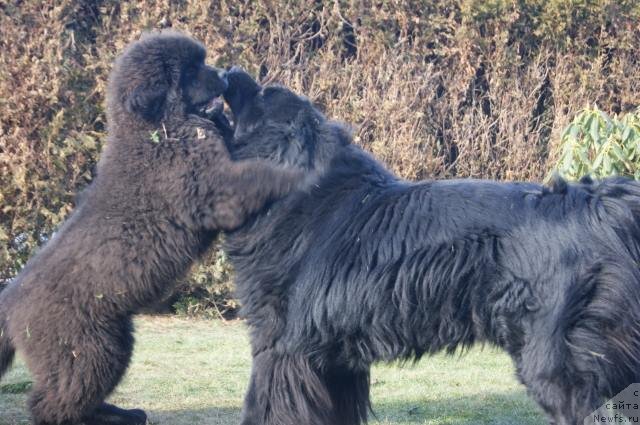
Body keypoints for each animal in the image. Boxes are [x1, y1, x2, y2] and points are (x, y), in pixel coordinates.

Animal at [0, 33, 302, 424]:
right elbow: (260, 176)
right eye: (190, 70)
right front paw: (305, 174)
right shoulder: (214, 190)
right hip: (86, 348)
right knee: (51, 403)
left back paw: (122, 413)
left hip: (113, 341)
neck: (157, 133)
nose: (224, 73)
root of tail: (9, 299)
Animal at [222, 69, 640, 424]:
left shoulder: (281, 348)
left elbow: (263, 407)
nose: (229, 73)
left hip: (556, 362)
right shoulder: (333, 363)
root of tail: (595, 203)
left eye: (262, 95)